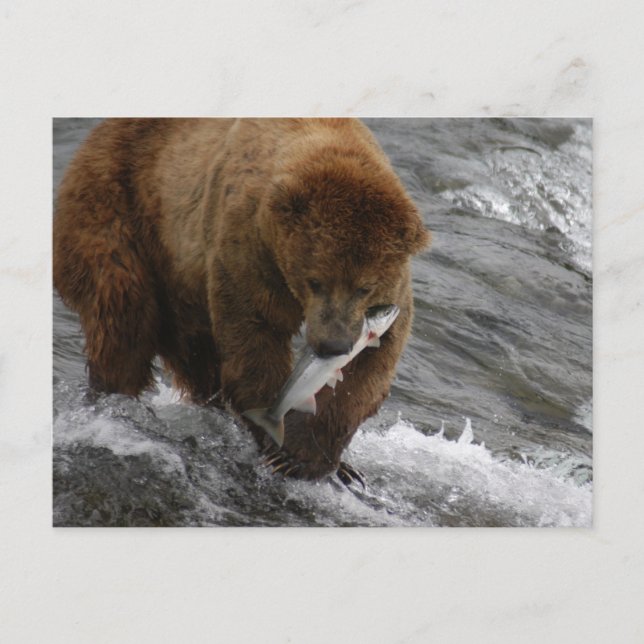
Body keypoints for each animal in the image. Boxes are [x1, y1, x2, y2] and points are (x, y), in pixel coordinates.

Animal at [53, 118, 430, 483]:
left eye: (364, 287)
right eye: (315, 281)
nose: (332, 345)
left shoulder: (391, 290)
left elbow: (372, 364)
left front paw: (318, 458)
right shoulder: (248, 246)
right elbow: (255, 336)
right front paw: (284, 449)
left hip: (179, 280)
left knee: (196, 352)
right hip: (118, 209)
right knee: (123, 318)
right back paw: (114, 402)